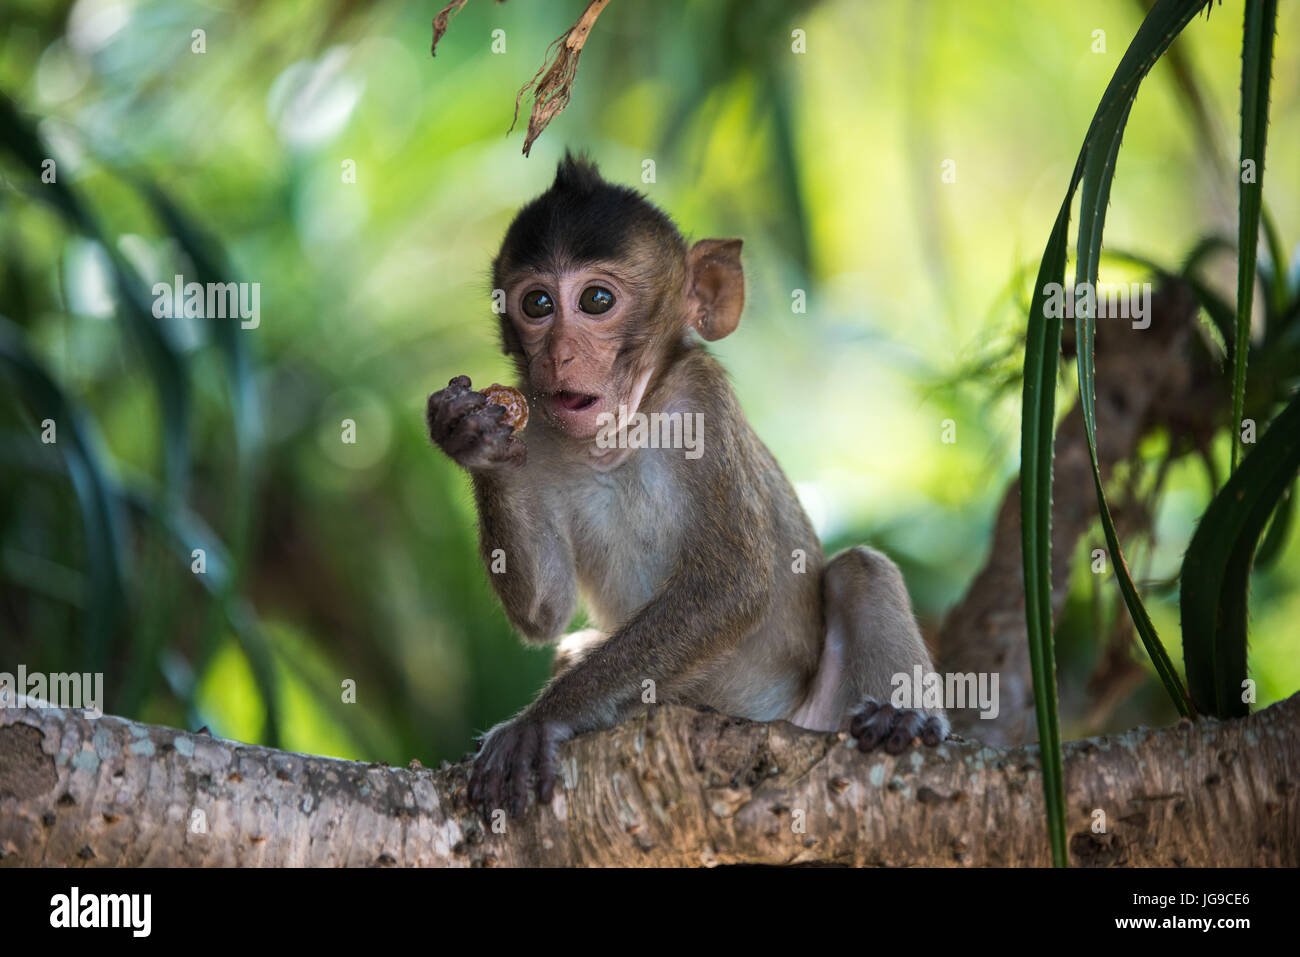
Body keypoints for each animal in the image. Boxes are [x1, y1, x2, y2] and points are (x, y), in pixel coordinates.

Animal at [426, 151, 946, 816]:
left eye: (596, 299)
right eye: (537, 304)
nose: (559, 355)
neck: (617, 440)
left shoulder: (702, 398)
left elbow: (731, 585)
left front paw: (539, 721)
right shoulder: (538, 428)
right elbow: (545, 614)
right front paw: (470, 437)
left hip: (816, 717)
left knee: (861, 570)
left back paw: (903, 719)